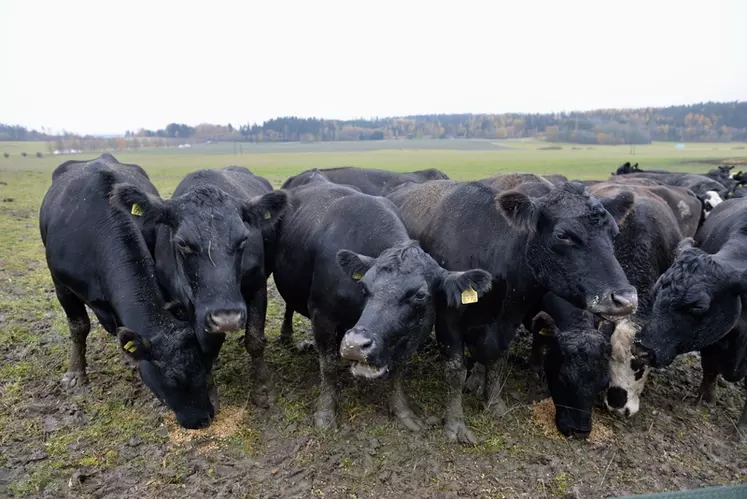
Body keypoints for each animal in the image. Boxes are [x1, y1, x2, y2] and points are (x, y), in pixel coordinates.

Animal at [110, 168, 286, 410]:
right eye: (183, 243)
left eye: (243, 239)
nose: (226, 318)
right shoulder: (184, 305)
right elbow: (204, 348)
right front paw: (209, 392)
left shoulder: (257, 287)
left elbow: (255, 341)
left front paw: (263, 390)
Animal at [274, 178, 490, 432]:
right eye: (364, 286)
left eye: (420, 296)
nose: (355, 345)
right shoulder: (321, 314)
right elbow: (328, 365)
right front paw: (325, 413)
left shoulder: (412, 334)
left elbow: (397, 370)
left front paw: (402, 411)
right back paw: (287, 335)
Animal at [388, 179, 640, 442]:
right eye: (563, 235)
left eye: (614, 233)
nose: (626, 298)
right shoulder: (449, 321)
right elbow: (455, 371)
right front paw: (455, 425)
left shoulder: (510, 318)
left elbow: (498, 360)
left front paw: (493, 403)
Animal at [636, 198, 747, 434]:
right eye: (657, 288)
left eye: (698, 306)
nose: (642, 349)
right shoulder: (714, 341)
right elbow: (710, 368)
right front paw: (704, 400)